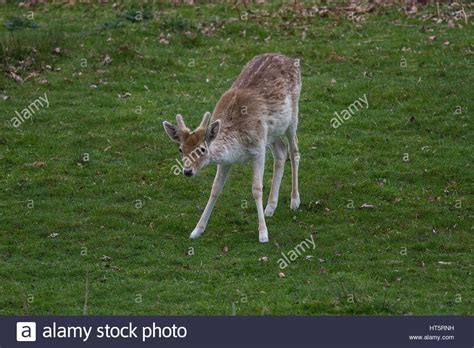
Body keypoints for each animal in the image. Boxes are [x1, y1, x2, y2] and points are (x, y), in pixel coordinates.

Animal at [165, 53, 302, 243]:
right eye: (180, 149)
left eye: (202, 149)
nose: (187, 171)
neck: (238, 148)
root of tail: (290, 58)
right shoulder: (226, 160)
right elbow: (215, 189)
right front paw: (197, 230)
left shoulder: (258, 148)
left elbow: (256, 188)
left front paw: (263, 234)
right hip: (272, 133)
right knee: (281, 151)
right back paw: (270, 207)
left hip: (292, 115)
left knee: (294, 151)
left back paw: (294, 200)